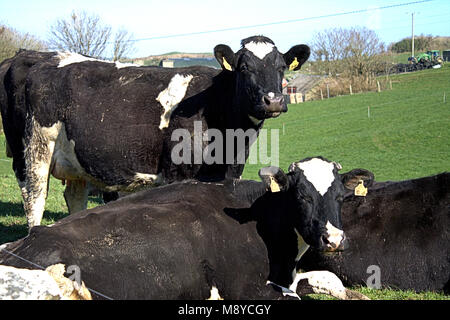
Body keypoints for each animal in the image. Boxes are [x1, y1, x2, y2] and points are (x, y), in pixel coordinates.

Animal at [0, 36, 310, 229]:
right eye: (244, 68)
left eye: (281, 67)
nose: (273, 100)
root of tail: (31, 56)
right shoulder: (177, 174)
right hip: (33, 151)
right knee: (34, 197)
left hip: (75, 161)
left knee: (74, 197)